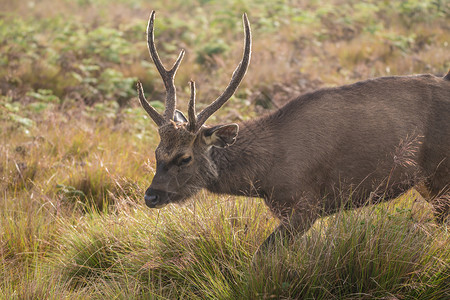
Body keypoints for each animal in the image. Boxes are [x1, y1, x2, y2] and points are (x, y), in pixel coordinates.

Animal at [137, 11, 450, 250]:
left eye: (185, 157)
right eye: (157, 153)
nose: (151, 196)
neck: (266, 174)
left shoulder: (305, 205)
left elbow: (264, 254)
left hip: (441, 171)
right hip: (426, 181)